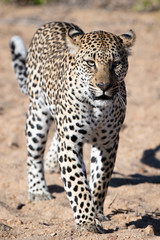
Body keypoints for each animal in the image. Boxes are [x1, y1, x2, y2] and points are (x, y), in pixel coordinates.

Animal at [9, 22, 135, 232]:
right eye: (90, 63)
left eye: (116, 64)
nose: (104, 86)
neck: (97, 107)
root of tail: (51, 23)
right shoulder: (70, 145)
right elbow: (78, 185)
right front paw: (87, 222)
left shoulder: (108, 143)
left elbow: (100, 179)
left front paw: (97, 212)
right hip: (37, 116)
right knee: (34, 156)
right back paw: (38, 190)